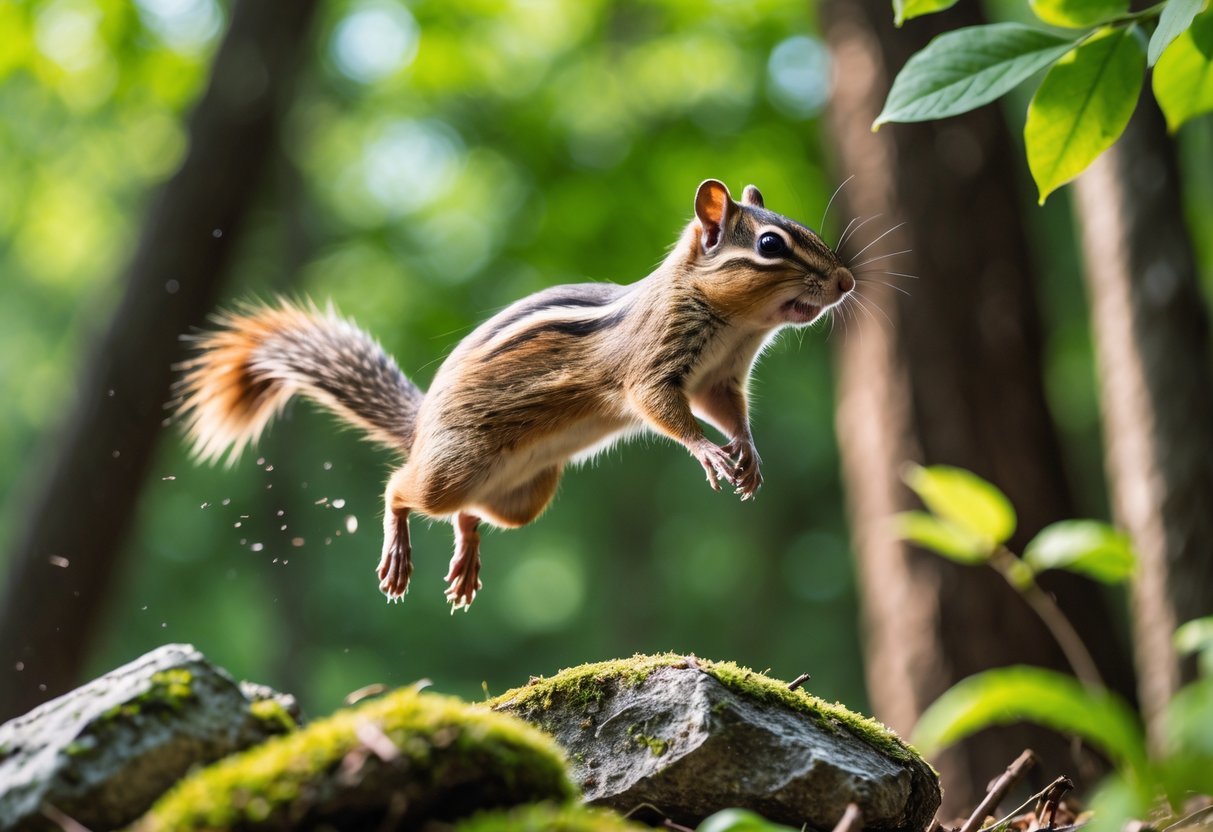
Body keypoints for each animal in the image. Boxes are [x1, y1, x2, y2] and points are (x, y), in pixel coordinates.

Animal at [175, 179, 855, 610]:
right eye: (770, 245)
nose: (847, 280)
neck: (737, 326)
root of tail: (421, 428)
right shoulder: (653, 365)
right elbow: (665, 410)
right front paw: (710, 453)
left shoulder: (720, 380)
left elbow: (730, 414)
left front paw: (748, 454)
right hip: (453, 466)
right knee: (401, 488)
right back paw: (399, 552)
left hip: (524, 499)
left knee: (470, 512)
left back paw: (466, 560)